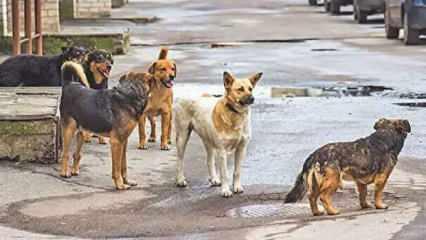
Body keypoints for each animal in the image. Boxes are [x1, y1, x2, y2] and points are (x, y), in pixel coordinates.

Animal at [284, 119, 412, 217]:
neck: (385, 135)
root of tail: (314, 155)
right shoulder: (382, 178)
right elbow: (378, 194)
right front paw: (380, 206)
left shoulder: (360, 182)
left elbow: (363, 194)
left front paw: (365, 206)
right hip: (334, 180)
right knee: (323, 197)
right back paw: (333, 211)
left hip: (316, 182)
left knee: (311, 197)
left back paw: (317, 212)